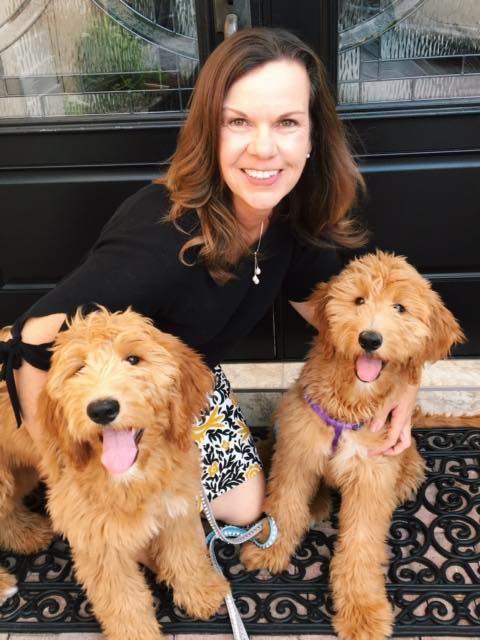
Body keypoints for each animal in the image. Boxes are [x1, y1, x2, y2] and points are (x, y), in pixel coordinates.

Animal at [1, 308, 230, 636]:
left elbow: (186, 553)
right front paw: (137, 633)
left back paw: (26, 534)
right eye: (78, 369)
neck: (134, 478)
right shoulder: (98, 542)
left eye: (133, 359)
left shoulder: (175, 506)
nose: (102, 409)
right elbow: (123, 599)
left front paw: (201, 593)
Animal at [242, 252, 464, 636]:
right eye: (359, 300)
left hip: (404, 462)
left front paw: (362, 611)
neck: (349, 403)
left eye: (400, 308)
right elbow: (285, 506)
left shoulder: (371, 477)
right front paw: (269, 550)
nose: (370, 338)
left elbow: (361, 544)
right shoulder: (297, 451)